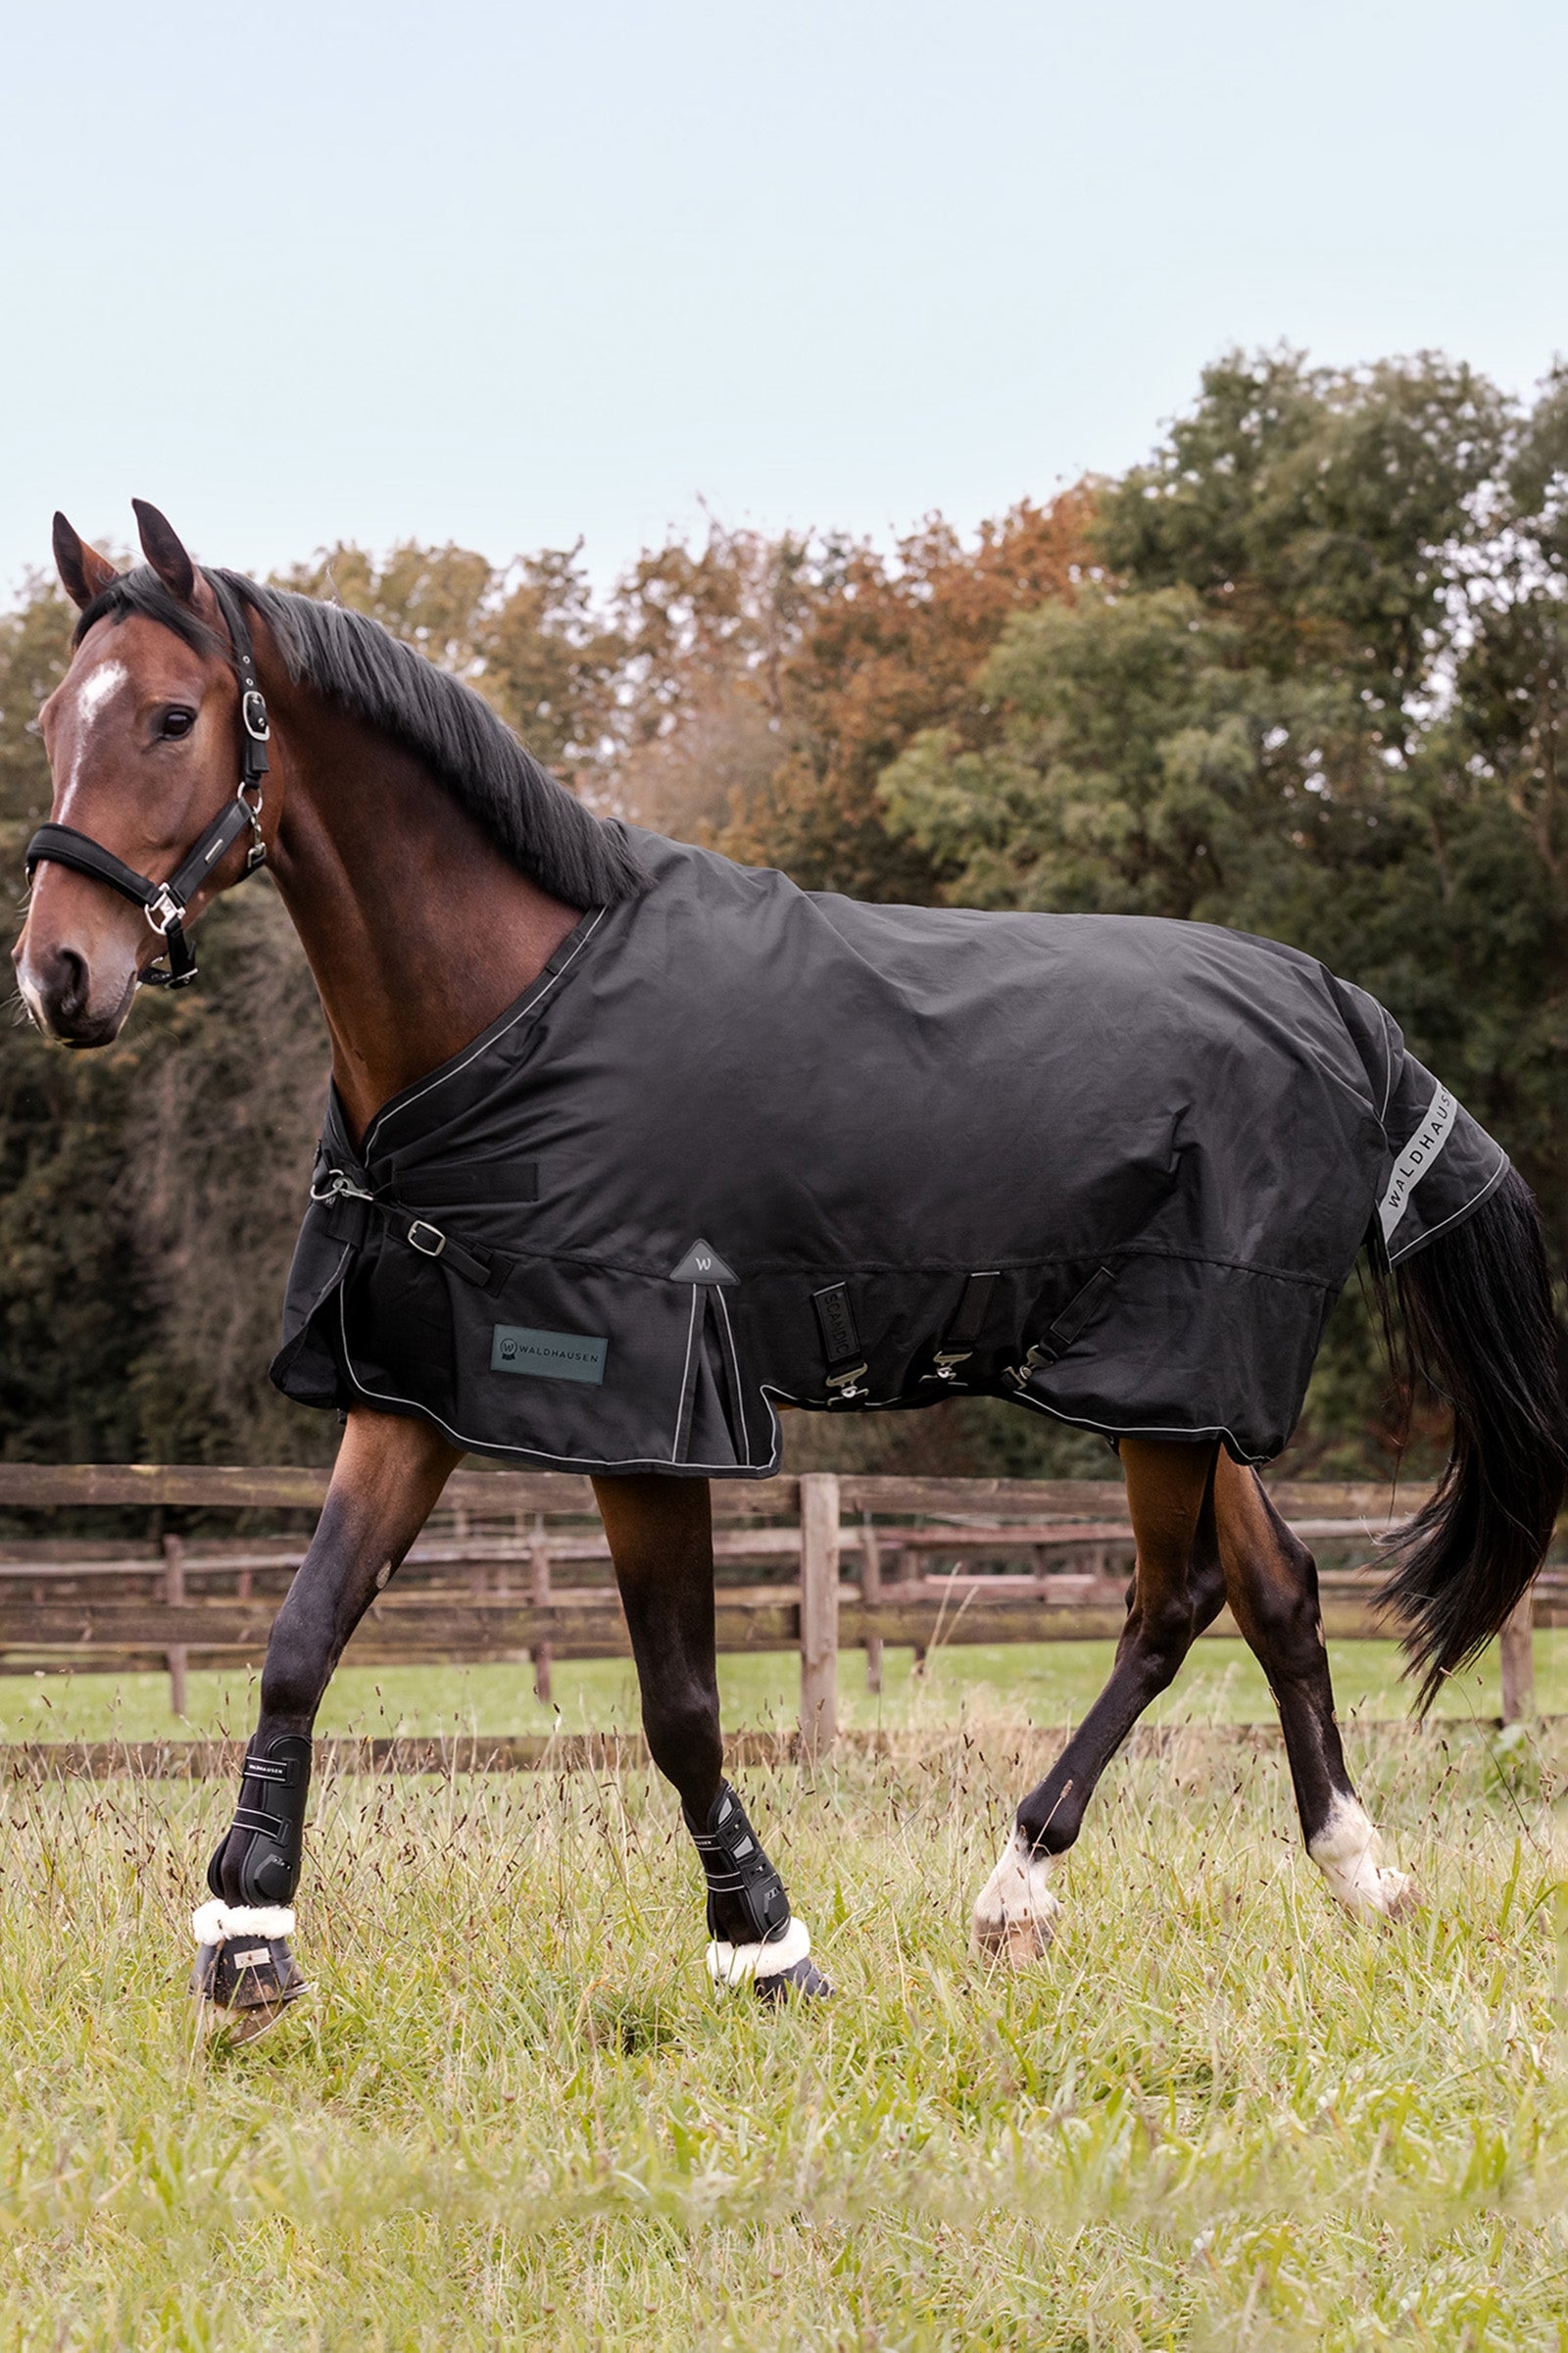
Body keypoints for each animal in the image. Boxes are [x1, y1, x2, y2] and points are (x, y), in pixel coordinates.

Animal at [14, 502, 1566, 2037]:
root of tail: (1340, 1006)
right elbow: (300, 1638)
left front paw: (765, 1943)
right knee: (1276, 1588)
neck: (510, 1009)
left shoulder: (647, 1408)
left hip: (1172, 1369)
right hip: (1172, 1389)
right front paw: (247, 1937)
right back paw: (1357, 1871)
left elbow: (679, 1706)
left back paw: (1019, 1885)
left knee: (1172, 1601)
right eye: (49, 718)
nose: (57, 977)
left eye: (170, 716)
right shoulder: (415, 1385)